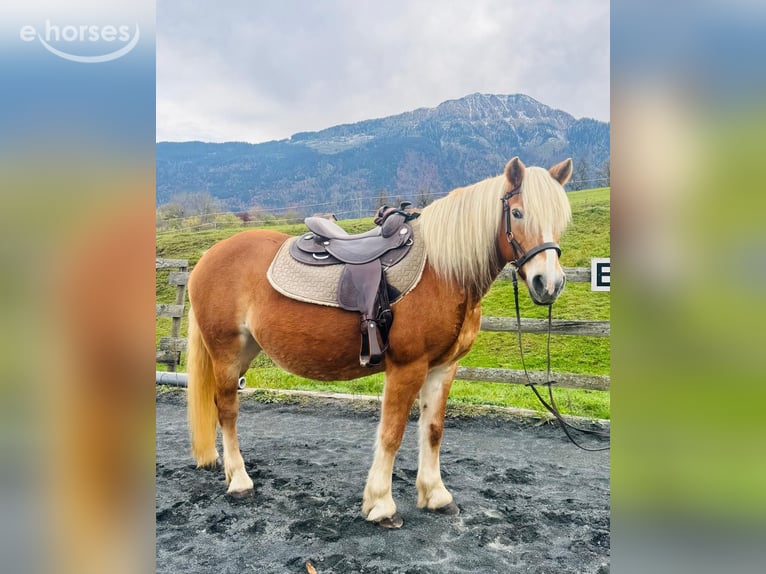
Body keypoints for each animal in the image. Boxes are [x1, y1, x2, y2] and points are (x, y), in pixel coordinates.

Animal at [186, 157, 573, 528]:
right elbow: (392, 433)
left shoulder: (443, 368)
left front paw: (436, 495)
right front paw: (381, 505)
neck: (442, 272)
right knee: (227, 410)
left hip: (246, 351)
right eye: (518, 213)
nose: (549, 283)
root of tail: (207, 257)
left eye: (561, 218)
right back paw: (240, 481)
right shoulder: (407, 367)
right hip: (226, 352)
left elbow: (433, 430)